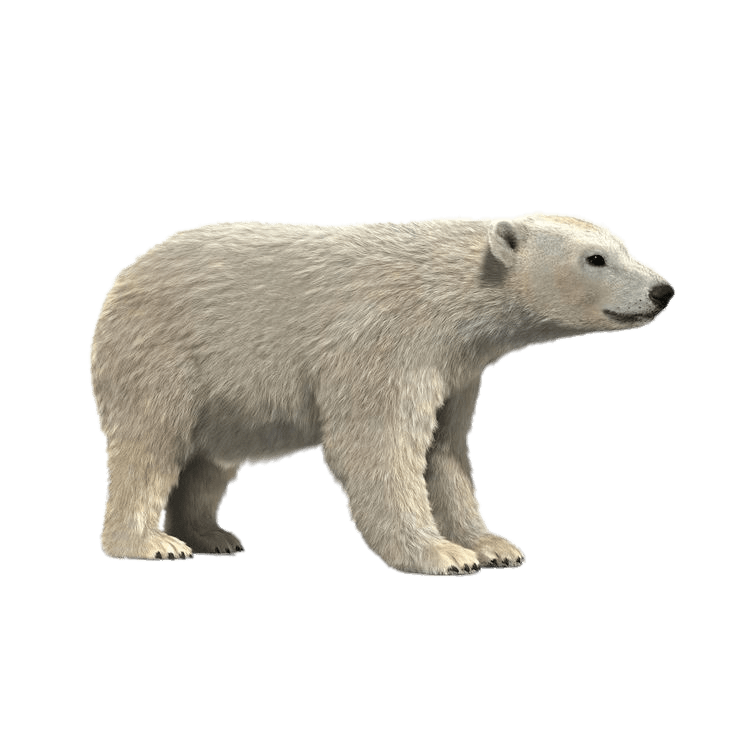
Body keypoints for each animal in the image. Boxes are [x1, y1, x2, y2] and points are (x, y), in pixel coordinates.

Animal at [89, 212, 675, 576]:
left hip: (226, 400)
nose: (662, 290)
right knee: (151, 445)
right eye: (595, 258)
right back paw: (153, 544)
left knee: (209, 462)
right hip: (164, 355)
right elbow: (380, 446)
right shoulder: (386, 341)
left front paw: (492, 546)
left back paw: (213, 536)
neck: (446, 293)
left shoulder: (456, 371)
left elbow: (445, 452)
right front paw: (442, 555)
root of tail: (124, 275)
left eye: (624, 246)